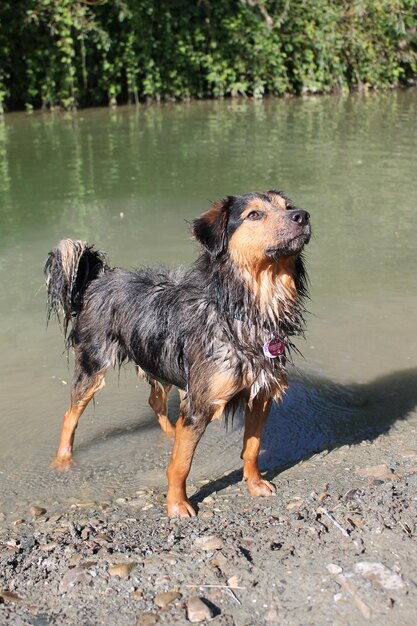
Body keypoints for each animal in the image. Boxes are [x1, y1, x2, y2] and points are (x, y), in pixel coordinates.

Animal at [44, 190, 308, 516]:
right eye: (254, 215)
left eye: (288, 207)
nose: (303, 215)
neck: (247, 310)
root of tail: (99, 278)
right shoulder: (199, 404)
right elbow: (180, 464)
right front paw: (177, 504)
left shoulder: (260, 395)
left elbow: (252, 447)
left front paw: (255, 483)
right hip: (93, 363)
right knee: (70, 415)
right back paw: (63, 460)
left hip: (158, 362)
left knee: (155, 400)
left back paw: (171, 433)